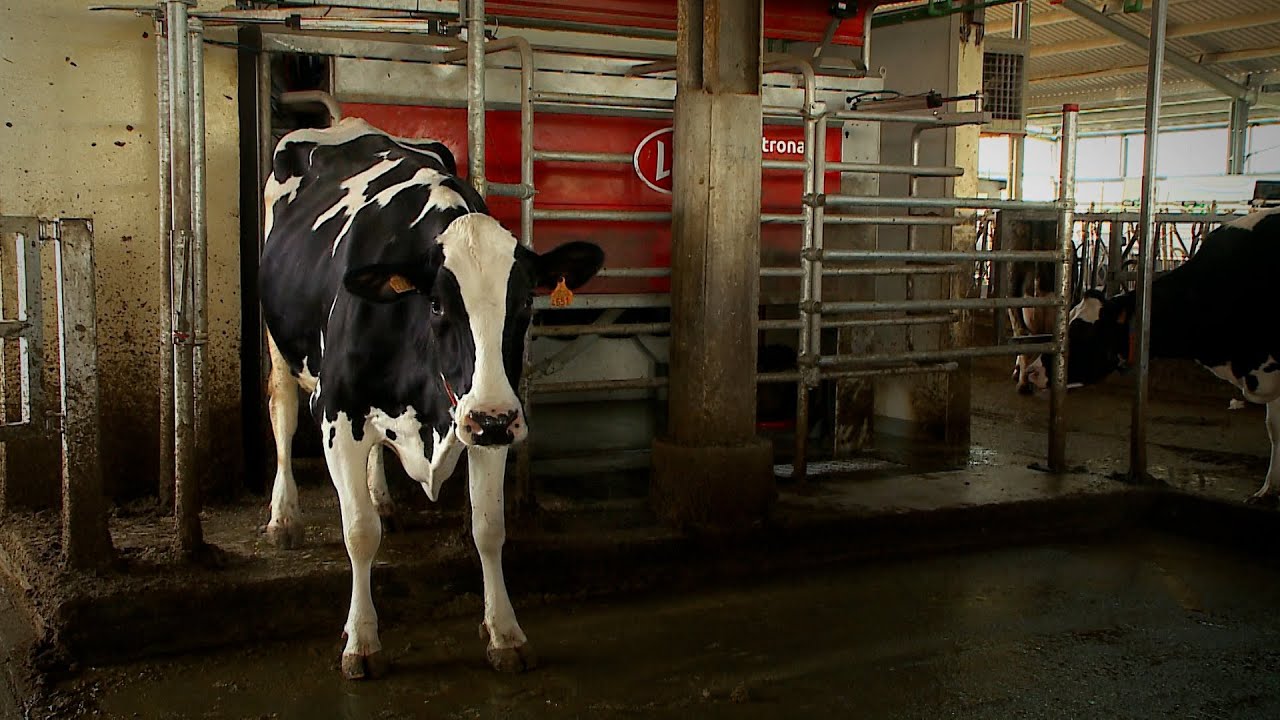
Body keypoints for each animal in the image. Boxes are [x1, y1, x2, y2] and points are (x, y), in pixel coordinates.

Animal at [258, 117, 604, 679]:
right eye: (438, 304)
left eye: (525, 302)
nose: (491, 418)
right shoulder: (337, 416)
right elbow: (359, 532)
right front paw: (362, 640)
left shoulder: (486, 420)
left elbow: (489, 528)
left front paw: (504, 632)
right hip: (279, 345)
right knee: (282, 412)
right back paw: (283, 517)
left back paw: (382, 497)